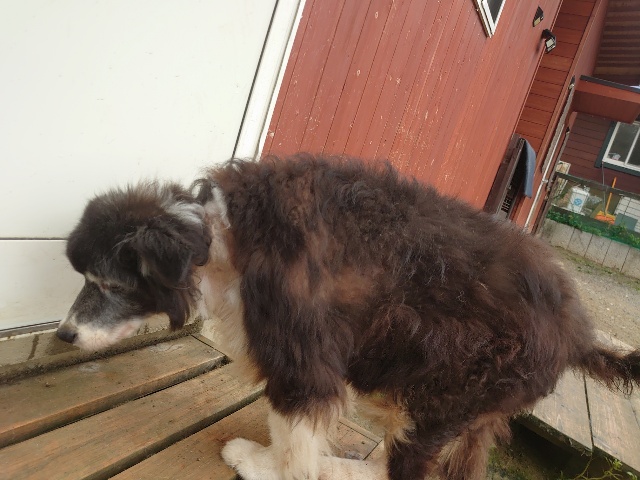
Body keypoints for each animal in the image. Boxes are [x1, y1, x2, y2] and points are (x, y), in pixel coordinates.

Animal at [57, 154, 640, 480]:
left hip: (441, 398)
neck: (222, 237)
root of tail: (579, 334)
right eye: (85, 279)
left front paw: (265, 465)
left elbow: (291, 430)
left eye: (109, 284)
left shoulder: (303, 355)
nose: (63, 334)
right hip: (445, 401)